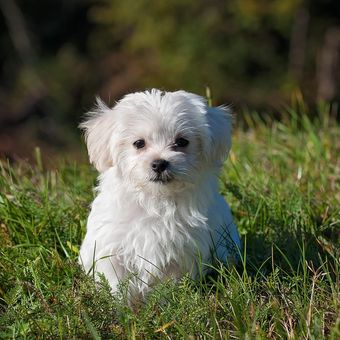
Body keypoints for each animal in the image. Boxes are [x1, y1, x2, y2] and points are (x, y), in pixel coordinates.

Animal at [78, 88, 240, 300]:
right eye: (139, 143)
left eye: (182, 142)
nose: (159, 163)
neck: (155, 200)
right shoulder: (111, 247)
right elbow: (116, 281)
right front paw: (120, 305)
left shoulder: (181, 253)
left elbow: (168, 284)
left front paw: (164, 302)